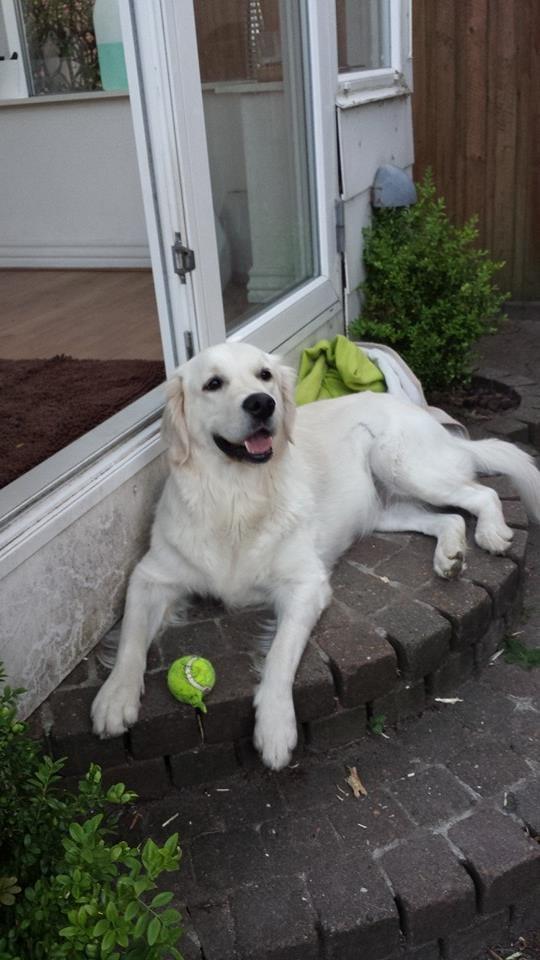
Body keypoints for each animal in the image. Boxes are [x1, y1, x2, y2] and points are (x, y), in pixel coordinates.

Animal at [92, 342, 540, 768]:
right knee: (449, 518)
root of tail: (428, 416)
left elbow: (279, 655)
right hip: (384, 509)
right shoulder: (151, 576)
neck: (237, 498)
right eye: (213, 383)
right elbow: (131, 636)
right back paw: (450, 555)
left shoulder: (306, 585)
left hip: (401, 464)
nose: (262, 403)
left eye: (265, 375)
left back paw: (492, 533)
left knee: (483, 493)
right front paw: (115, 696)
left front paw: (275, 727)